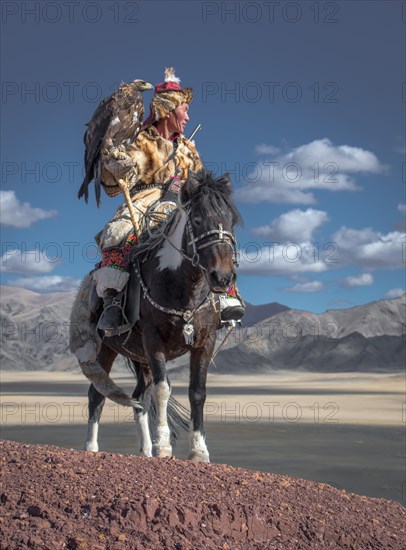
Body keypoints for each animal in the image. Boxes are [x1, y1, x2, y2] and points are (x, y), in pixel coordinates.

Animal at [70, 170, 241, 464]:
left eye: (232, 221)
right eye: (198, 220)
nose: (223, 277)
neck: (182, 285)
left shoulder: (204, 341)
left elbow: (197, 392)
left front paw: (199, 451)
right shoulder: (154, 340)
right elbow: (163, 390)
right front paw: (164, 447)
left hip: (140, 358)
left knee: (140, 398)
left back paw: (145, 451)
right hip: (106, 349)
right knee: (98, 393)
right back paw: (91, 448)